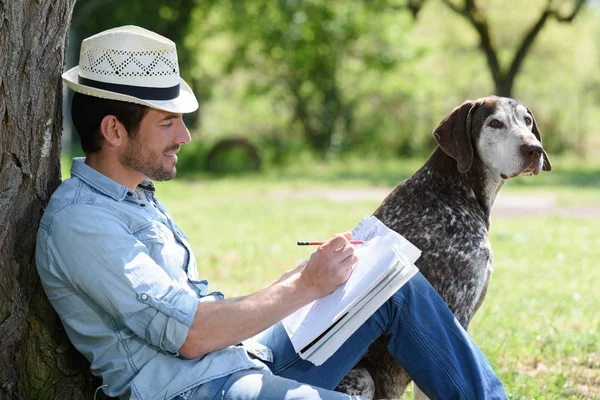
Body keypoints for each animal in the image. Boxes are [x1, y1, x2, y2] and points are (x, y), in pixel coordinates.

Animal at [336, 97, 552, 400]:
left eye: (528, 121)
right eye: (495, 123)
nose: (535, 149)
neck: (454, 190)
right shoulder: (455, 313)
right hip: (362, 378)